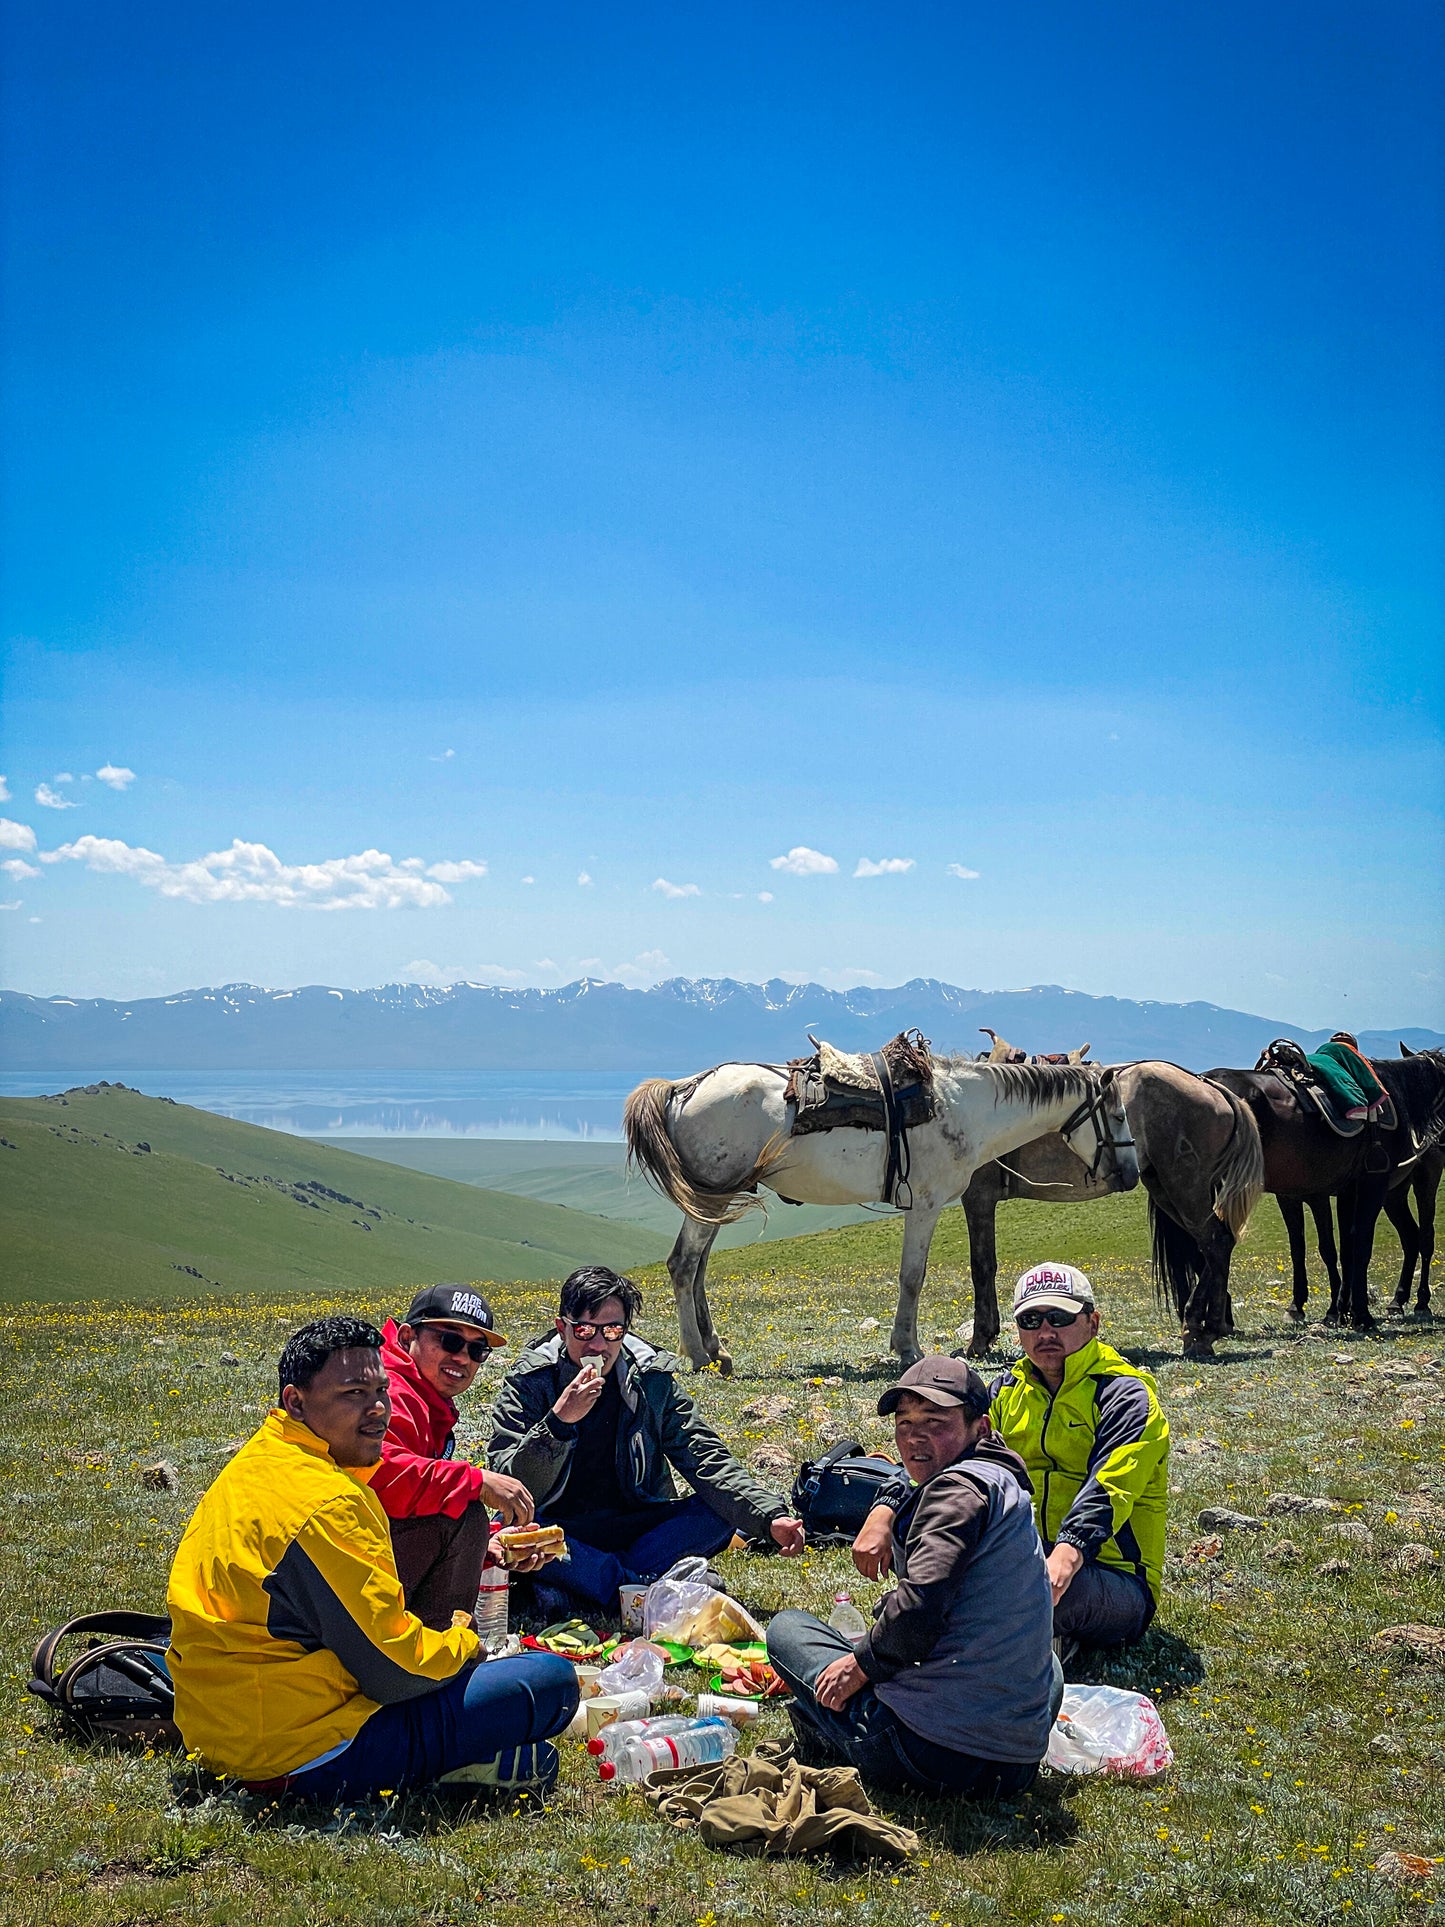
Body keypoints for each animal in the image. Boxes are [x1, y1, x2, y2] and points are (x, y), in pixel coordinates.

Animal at [624, 1055, 1140, 1372]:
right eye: (1116, 1116)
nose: (1132, 1175)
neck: (964, 1109)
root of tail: (682, 1088)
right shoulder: (925, 1205)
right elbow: (913, 1276)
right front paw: (908, 1349)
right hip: (710, 1199)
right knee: (683, 1265)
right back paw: (697, 1355)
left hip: (717, 1198)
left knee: (698, 1268)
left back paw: (717, 1350)